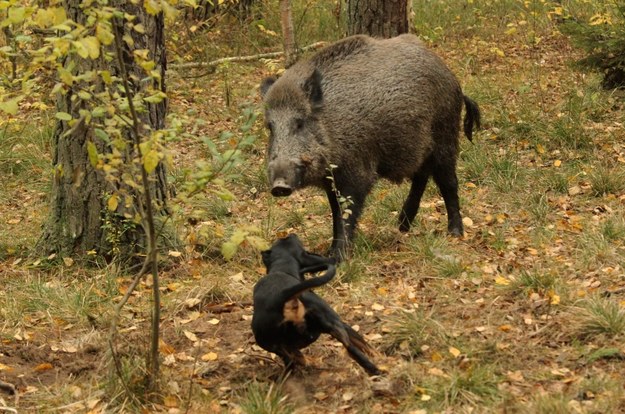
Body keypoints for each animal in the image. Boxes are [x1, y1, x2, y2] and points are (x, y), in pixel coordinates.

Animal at [250, 233, 380, 376]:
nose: (291, 233)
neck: (283, 268)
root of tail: (280, 297)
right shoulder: (342, 324)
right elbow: (366, 345)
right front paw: (379, 356)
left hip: (269, 342)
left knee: (293, 359)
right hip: (335, 324)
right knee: (354, 351)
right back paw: (378, 369)